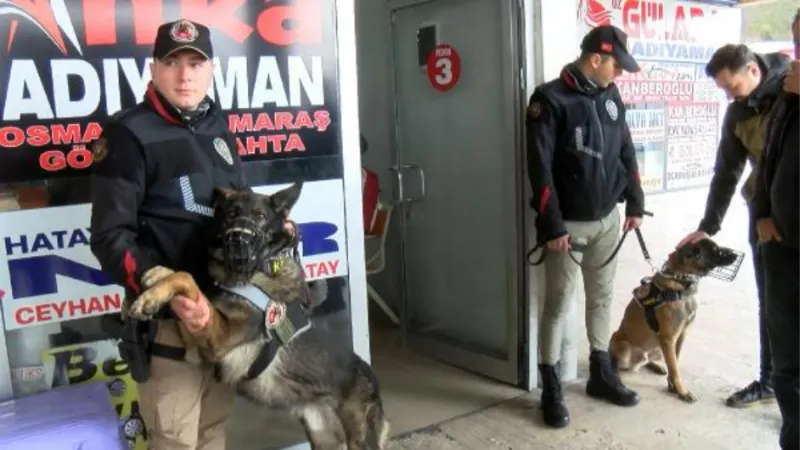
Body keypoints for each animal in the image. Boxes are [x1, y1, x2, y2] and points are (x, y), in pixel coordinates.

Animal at [126, 183, 390, 450]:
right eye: (231, 214)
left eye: (260, 216)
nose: (237, 238)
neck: (259, 268)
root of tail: (374, 380)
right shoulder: (198, 343)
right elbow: (185, 278)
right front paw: (158, 275)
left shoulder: (219, 339)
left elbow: (188, 279)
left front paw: (149, 299)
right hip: (325, 438)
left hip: (358, 440)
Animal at [524, 25, 648, 428]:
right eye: (618, 64)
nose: (622, 75)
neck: (588, 92)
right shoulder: (539, 110)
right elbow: (543, 162)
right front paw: (554, 402)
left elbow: (624, 143)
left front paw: (607, 382)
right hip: (568, 256)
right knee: (555, 315)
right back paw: (553, 401)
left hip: (602, 250)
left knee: (599, 304)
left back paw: (605, 382)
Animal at [608, 239, 740, 404]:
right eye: (717, 250)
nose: (736, 255)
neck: (680, 279)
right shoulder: (669, 338)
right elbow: (675, 368)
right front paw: (682, 391)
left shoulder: (680, 335)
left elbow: (674, 363)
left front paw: (673, 386)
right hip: (625, 347)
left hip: (658, 347)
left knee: (650, 360)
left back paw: (656, 366)